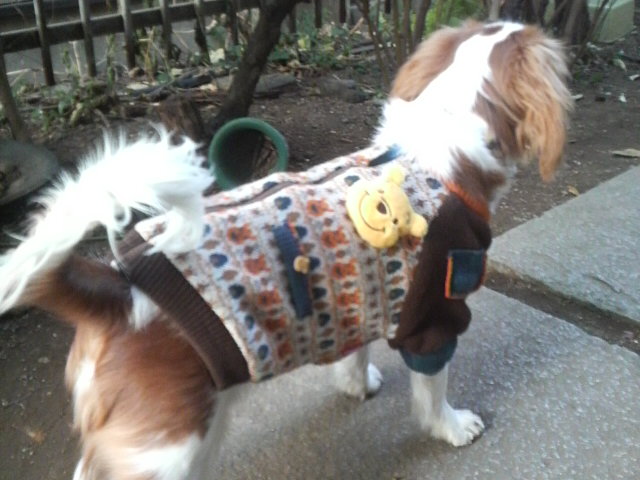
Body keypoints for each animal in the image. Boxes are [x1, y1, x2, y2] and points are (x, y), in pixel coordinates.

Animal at [0, 21, 571, 480]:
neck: (435, 149)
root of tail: (116, 286)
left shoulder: (357, 296)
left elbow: (353, 354)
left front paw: (356, 385)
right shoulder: (433, 312)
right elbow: (432, 391)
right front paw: (451, 426)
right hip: (167, 446)